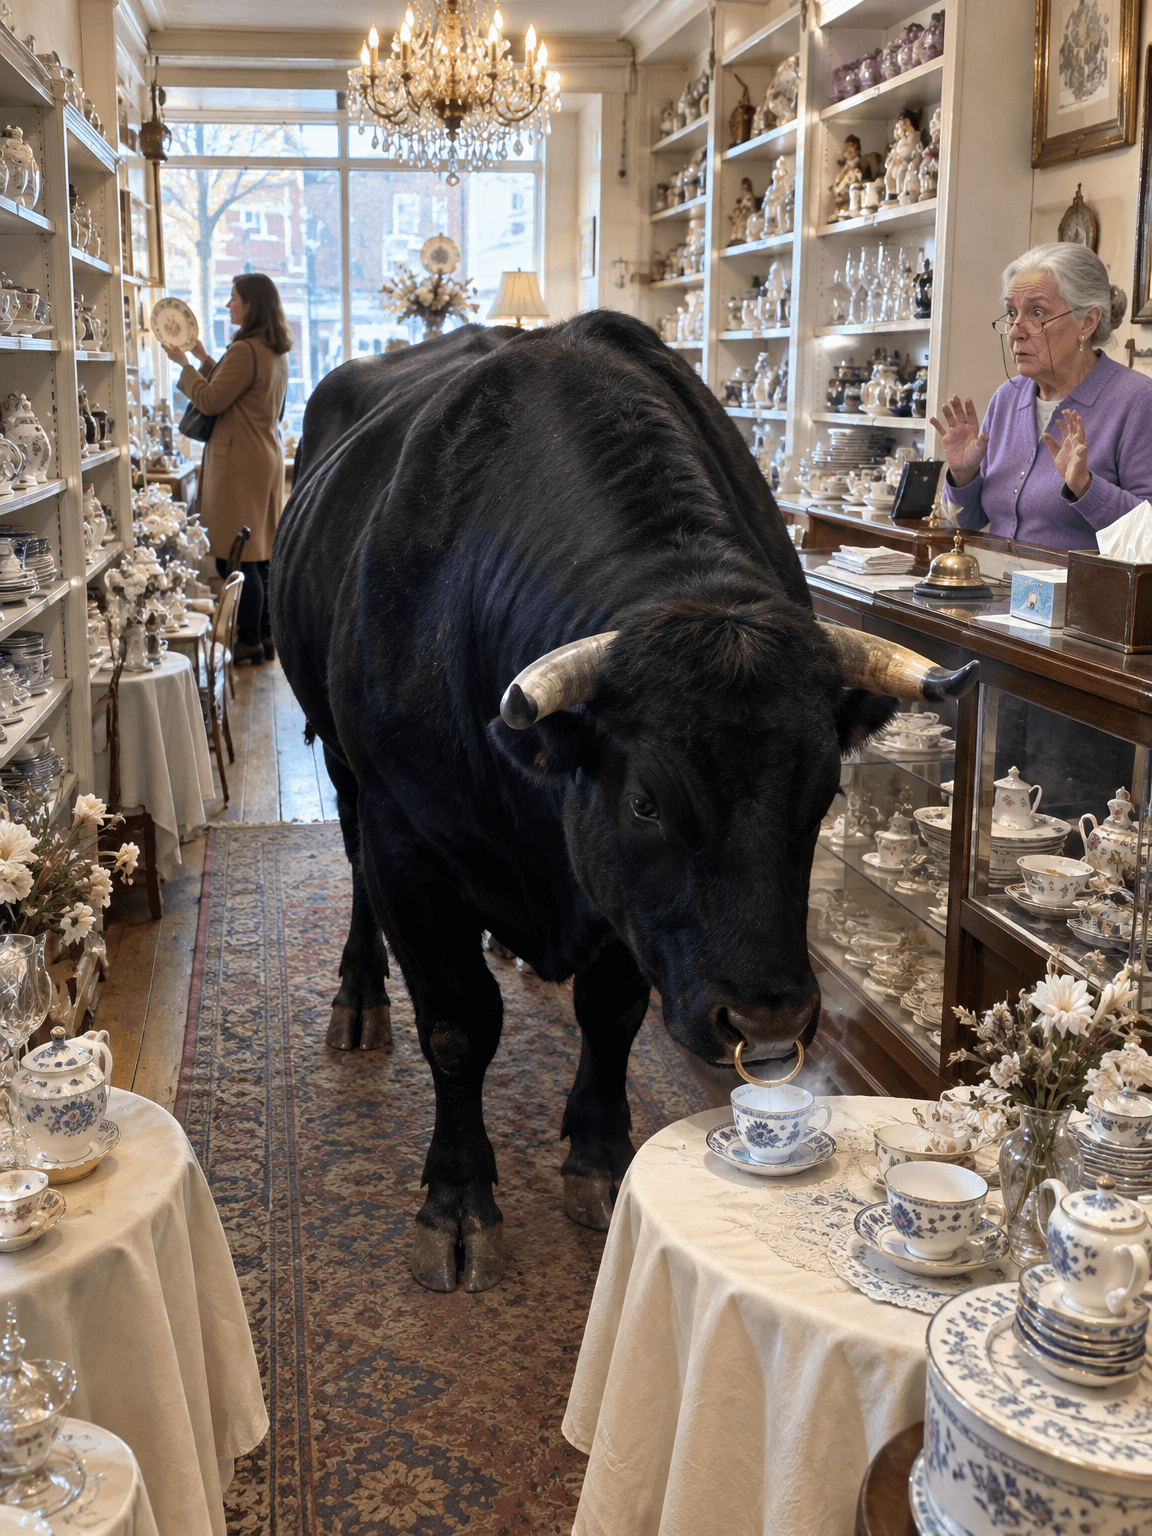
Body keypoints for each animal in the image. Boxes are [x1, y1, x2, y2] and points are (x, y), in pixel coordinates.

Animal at [271, 310, 976, 1293]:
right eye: (646, 803)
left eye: (825, 790)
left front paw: (600, 1160)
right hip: (345, 773)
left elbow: (610, 1014)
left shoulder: (628, 913)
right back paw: (360, 997)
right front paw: (457, 1200)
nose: (767, 1021)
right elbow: (456, 1026)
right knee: (353, 875)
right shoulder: (408, 837)